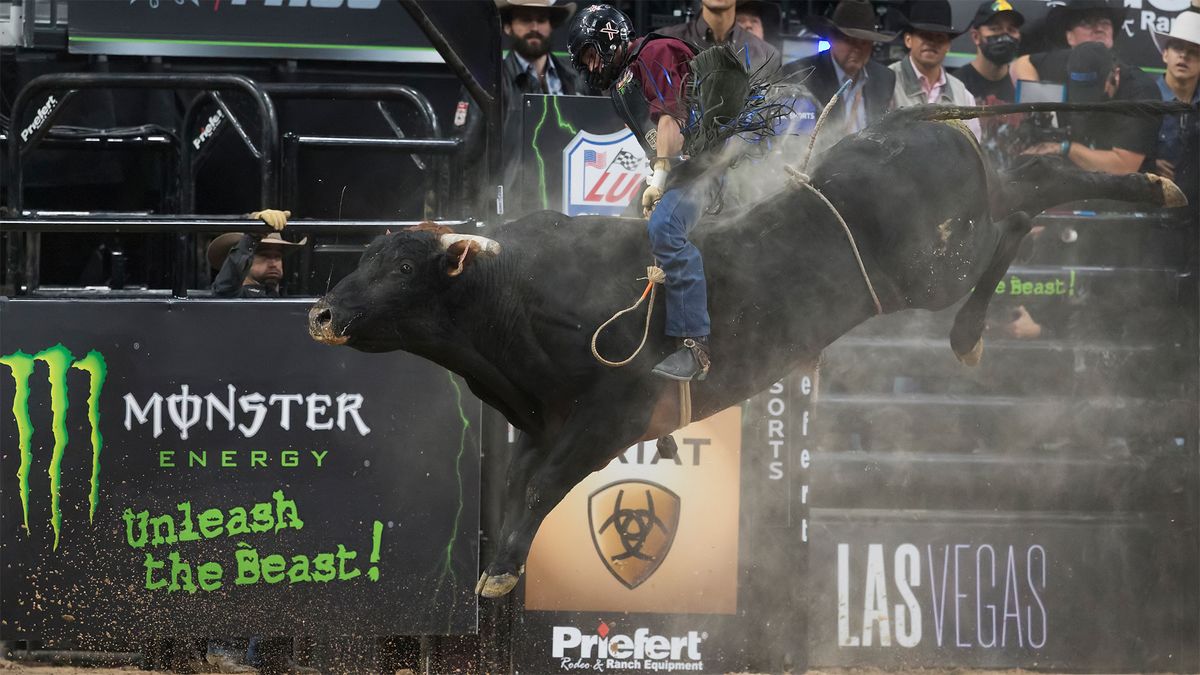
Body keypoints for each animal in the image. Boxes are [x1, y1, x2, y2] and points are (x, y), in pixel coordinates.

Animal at [304, 102, 1185, 595]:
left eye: (404, 268)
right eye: (363, 256)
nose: (320, 311)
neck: (518, 298)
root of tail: (909, 123)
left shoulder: (608, 418)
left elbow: (546, 486)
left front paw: (498, 573)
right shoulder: (539, 425)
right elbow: (521, 484)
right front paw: (502, 565)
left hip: (943, 258)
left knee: (1030, 193)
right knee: (1025, 196)